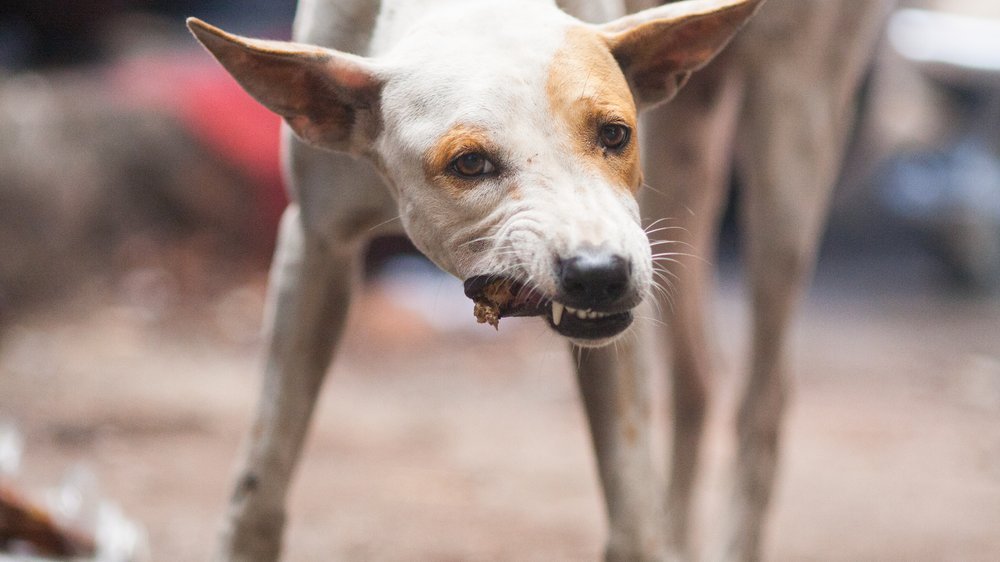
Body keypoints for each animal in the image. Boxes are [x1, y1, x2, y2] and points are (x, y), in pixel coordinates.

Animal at [188, 0, 892, 556]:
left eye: (615, 133)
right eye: (469, 164)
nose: (601, 275)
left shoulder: (622, 315)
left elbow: (633, 521)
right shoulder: (314, 245)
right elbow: (257, 492)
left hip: (786, 146)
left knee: (760, 408)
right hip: (682, 168)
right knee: (696, 380)